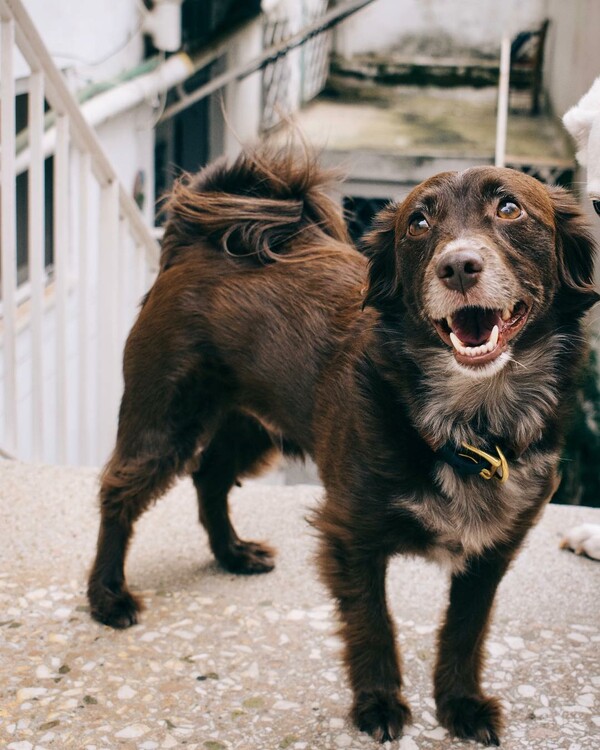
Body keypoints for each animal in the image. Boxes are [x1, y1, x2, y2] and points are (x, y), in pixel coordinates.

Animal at [86, 147, 596, 748]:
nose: (458, 266)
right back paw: (107, 595)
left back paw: (232, 553)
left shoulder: (492, 550)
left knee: (210, 477)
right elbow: (372, 625)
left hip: (254, 425)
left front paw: (461, 704)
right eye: (418, 223)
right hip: (165, 421)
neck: (469, 423)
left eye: (510, 208)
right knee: (118, 493)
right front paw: (378, 703)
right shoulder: (350, 535)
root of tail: (196, 242)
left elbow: (465, 631)